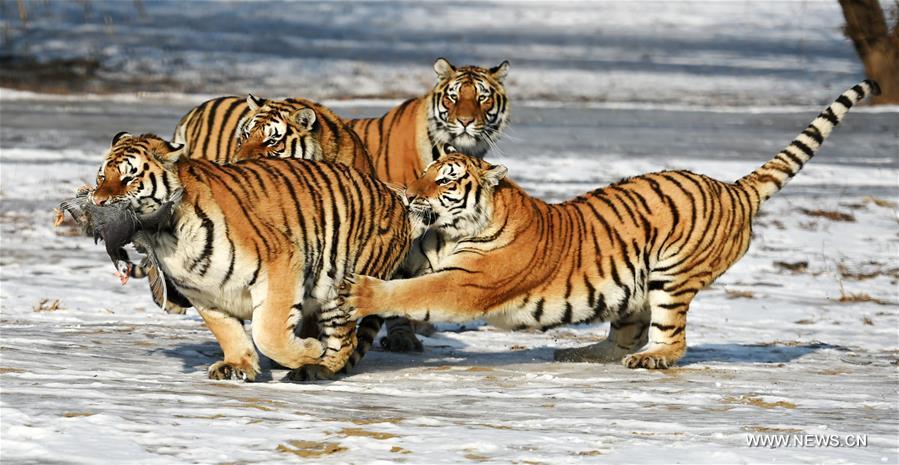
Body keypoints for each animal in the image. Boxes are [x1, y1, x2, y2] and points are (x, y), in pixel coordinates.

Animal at [89, 132, 419, 381]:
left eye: (129, 179)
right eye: (102, 176)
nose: (98, 202)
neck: (165, 234)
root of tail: (397, 201)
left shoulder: (281, 262)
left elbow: (268, 332)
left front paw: (309, 351)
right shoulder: (205, 291)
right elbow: (227, 330)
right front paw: (238, 365)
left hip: (340, 287)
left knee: (345, 341)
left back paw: (316, 367)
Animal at [339, 80, 879, 369]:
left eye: (446, 180)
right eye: (425, 172)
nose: (409, 196)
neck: (452, 230)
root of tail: (731, 187)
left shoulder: (466, 284)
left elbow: (412, 293)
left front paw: (363, 291)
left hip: (672, 277)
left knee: (669, 337)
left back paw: (650, 359)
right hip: (632, 287)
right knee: (627, 331)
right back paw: (579, 354)